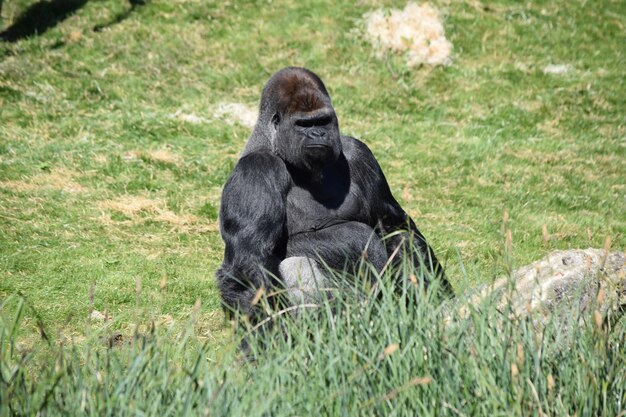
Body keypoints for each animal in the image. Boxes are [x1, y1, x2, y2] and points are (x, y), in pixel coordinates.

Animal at [216, 67, 448, 318]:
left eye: (323, 121)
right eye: (304, 124)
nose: (318, 134)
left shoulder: (360, 154)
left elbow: (394, 227)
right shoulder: (255, 171)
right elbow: (249, 264)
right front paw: (268, 327)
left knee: (401, 239)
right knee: (298, 266)